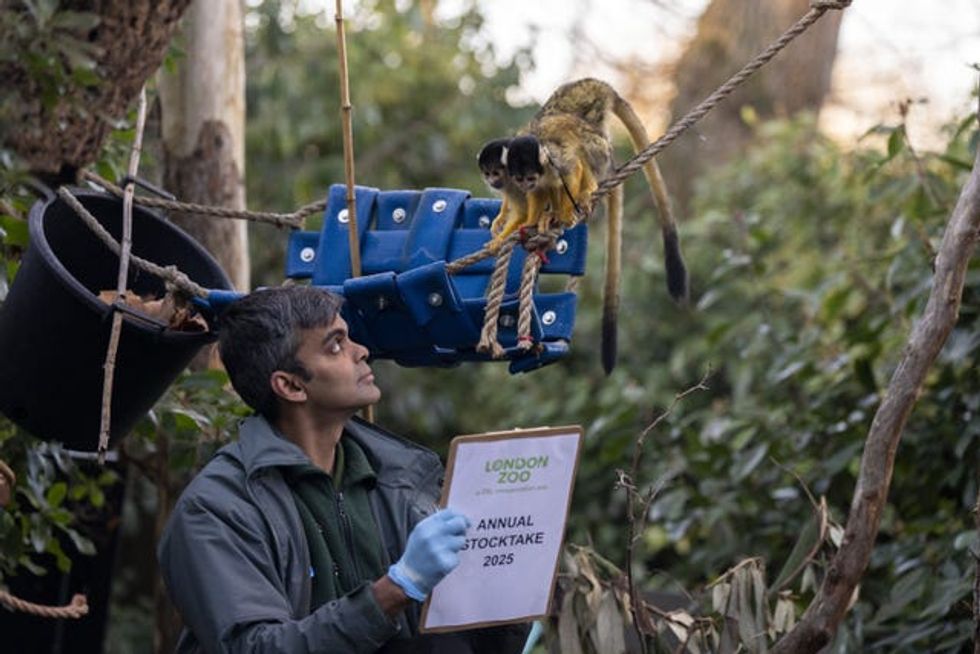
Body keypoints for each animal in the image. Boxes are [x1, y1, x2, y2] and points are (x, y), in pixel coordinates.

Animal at [484, 78, 688, 373]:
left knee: (584, 153)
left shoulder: (553, 163)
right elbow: (534, 197)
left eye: (499, 173)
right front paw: (519, 221)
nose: (495, 180)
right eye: (516, 176)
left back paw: (583, 193)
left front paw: (551, 217)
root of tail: (602, 86)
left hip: (597, 133)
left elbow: (570, 169)